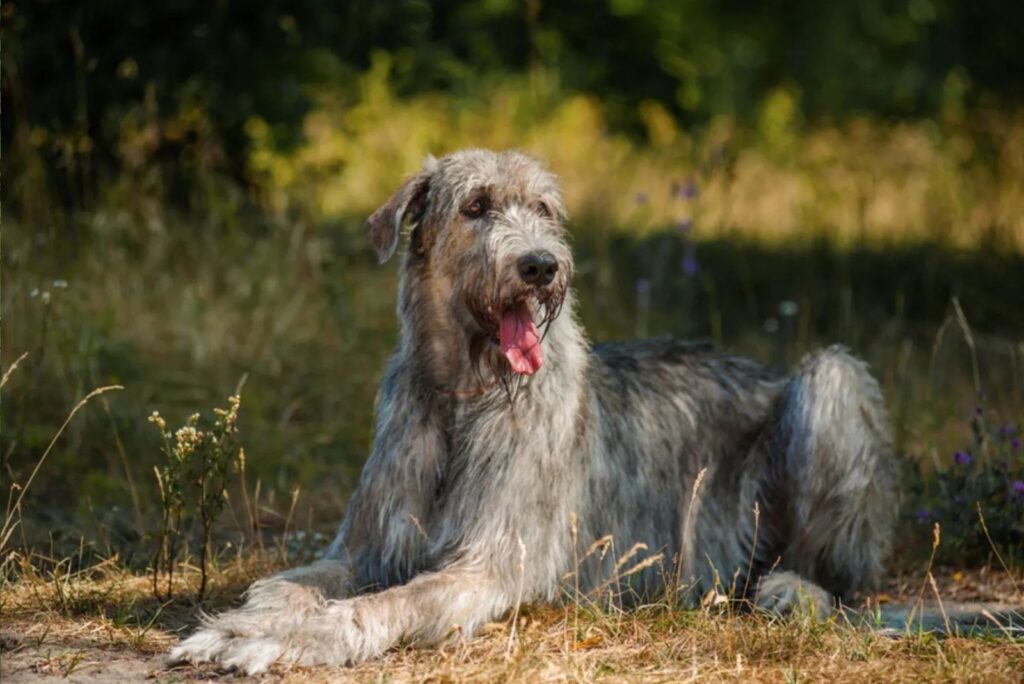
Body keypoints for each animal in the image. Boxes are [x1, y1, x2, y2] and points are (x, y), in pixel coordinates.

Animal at [169, 148, 897, 671]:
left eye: (543, 208)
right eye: (476, 205)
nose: (541, 266)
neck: (464, 398)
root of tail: (765, 371)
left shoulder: (491, 564)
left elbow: (393, 602)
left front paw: (289, 638)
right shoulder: (369, 545)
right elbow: (287, 583)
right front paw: (247, 622)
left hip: (832, 381)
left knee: (847, 576)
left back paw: (793, 589)